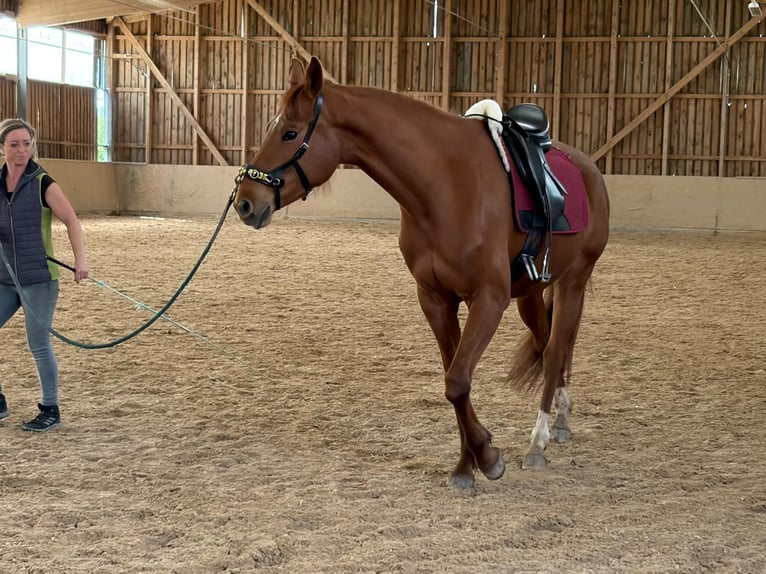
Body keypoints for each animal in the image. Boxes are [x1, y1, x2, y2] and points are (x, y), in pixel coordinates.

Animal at [233, 56, 610, 490]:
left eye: (290, 133)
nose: (245, 202)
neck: (444, 186)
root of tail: (588, 168)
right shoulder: (436, 300)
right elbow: (454, 381)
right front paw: (467, 463)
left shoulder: (489, 300)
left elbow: (458, 380)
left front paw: (487, 457)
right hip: (531, 292)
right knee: (548, 344)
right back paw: (560, 421)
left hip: (573, 283)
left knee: (555, 352)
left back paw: (539, 441)